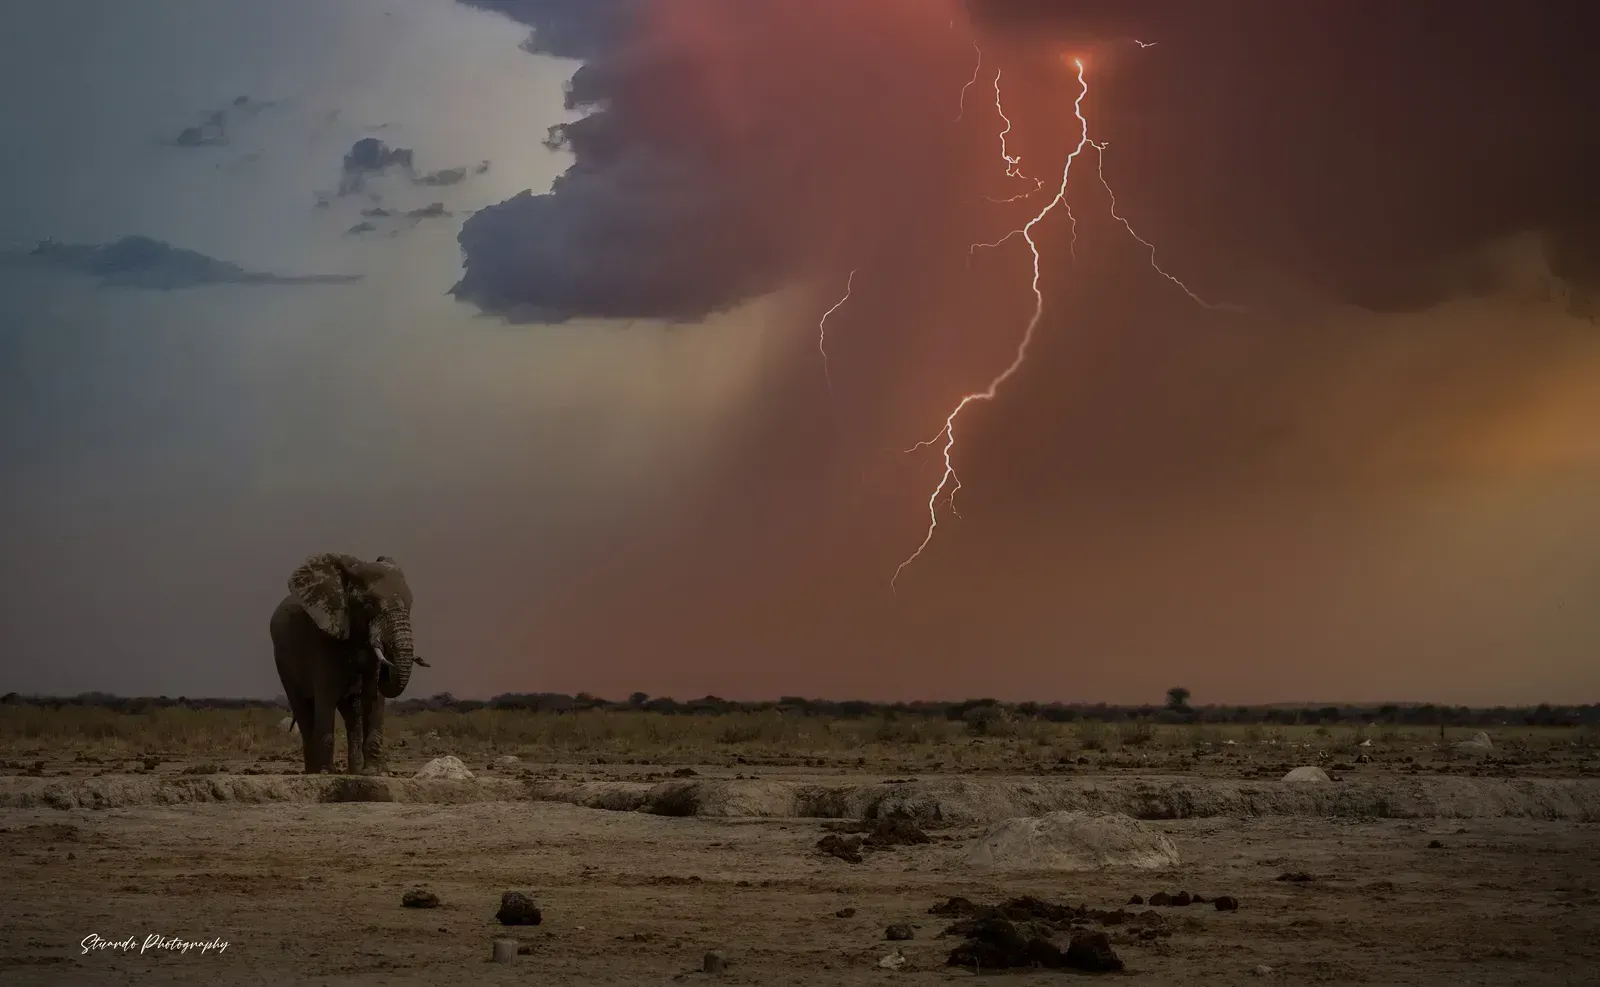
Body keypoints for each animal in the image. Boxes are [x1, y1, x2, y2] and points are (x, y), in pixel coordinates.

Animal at [269, 552, 428, 774]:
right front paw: (325, 773)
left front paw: (374, 772)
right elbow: (326, 698)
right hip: (283, 662)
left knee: (352, 714)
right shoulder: (322, 636)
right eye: (369, 604)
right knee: (303, 708)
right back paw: (313, 771)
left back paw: (354, 770)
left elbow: (374, 698)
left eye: (410, 605)